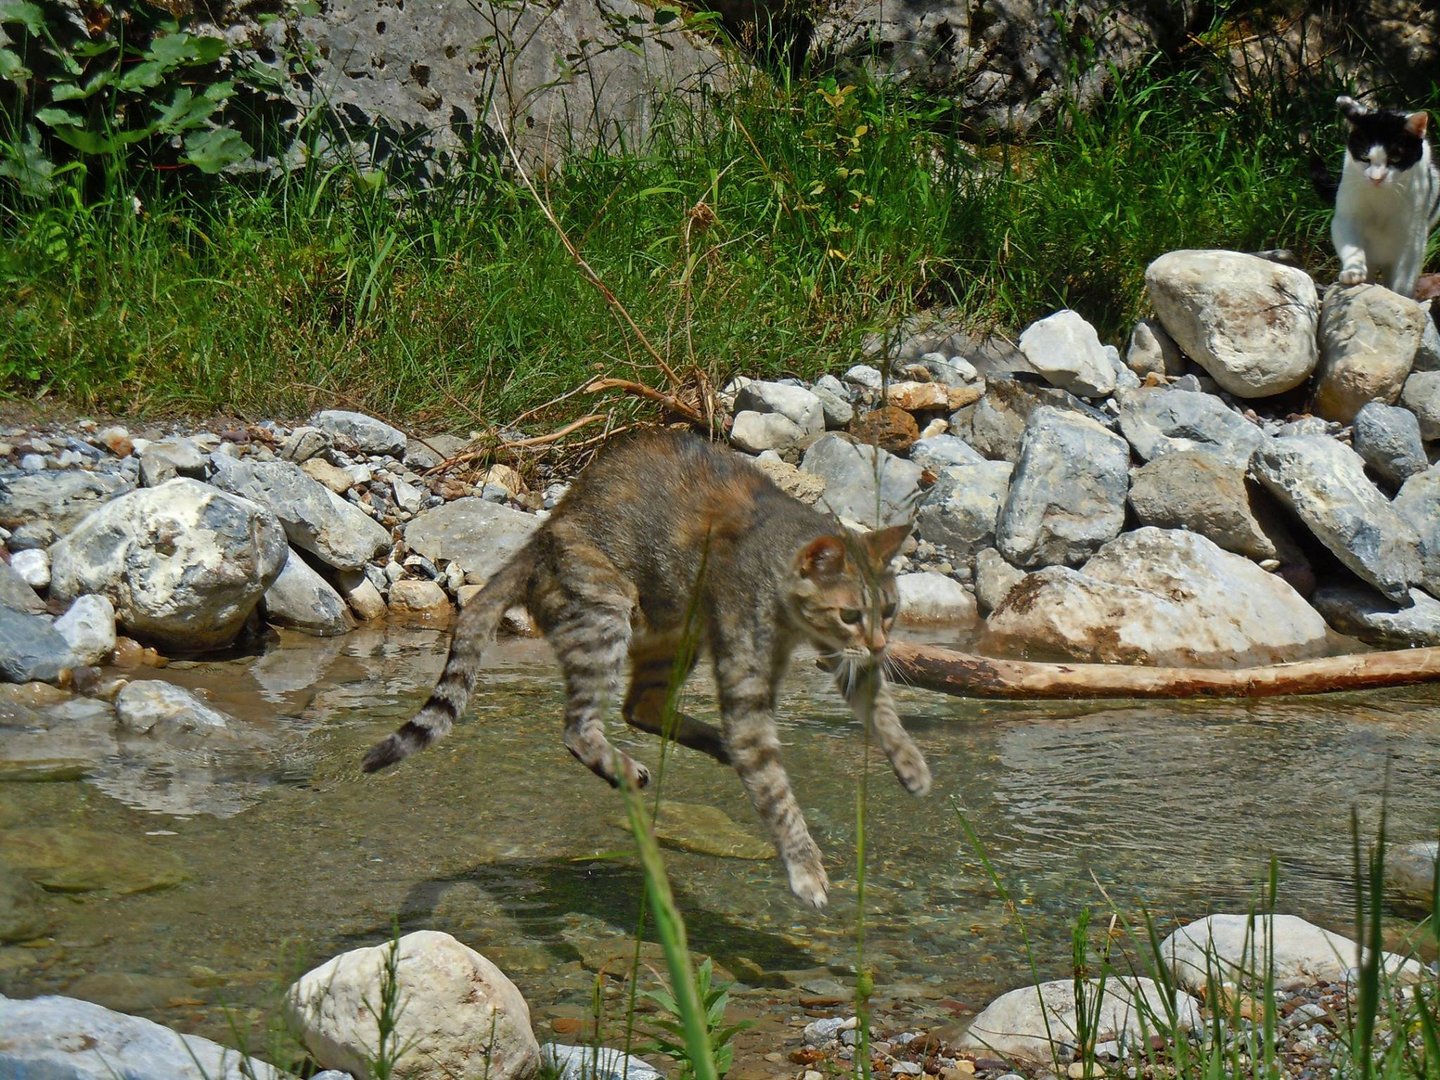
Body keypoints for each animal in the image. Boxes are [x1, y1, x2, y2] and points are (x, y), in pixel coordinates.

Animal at [362, 426, 933, 910]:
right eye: (850, 614)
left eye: (890, 610)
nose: (882, 644)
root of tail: (541, 534)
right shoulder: (751, 681)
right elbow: (774, 788)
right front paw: (805, 868)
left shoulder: (843, 657)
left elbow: (880, 707)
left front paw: (911, 766)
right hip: (605, 610)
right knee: (581, 726)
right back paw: (624, 762)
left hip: (675, 634)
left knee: (642, 707)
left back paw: (710, 743)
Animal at [1324, 94, 1440, 298]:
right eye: (1365, 158)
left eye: (1395, 159)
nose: (1376, 178)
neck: (1382, 196)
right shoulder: (1347, 216)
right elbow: (1351, 245)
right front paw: (1353, 271)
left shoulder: (1413, 235)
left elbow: (1404, 278)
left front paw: (1399, 296)